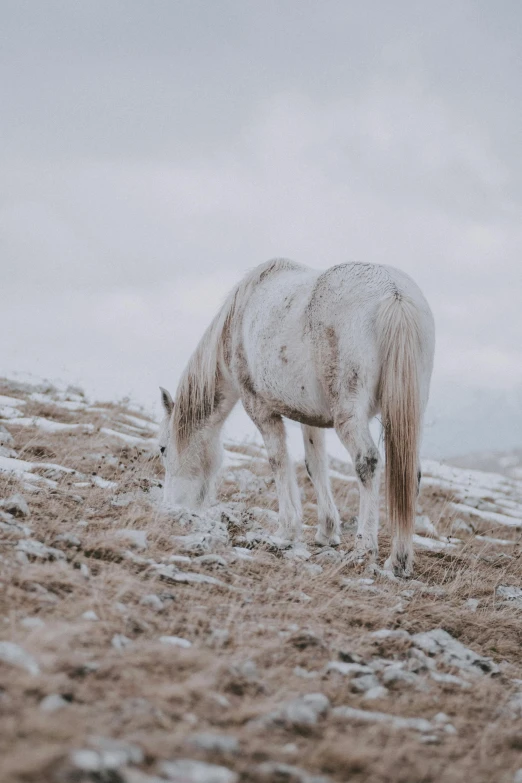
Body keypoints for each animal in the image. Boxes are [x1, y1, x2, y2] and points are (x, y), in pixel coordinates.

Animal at [159, 258, 434, 576]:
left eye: (163, 449)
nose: (171, 507)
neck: (238, 321)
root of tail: (393, 292)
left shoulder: (260, 408)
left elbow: (278, 462)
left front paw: (286, 531)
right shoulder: (310, 418)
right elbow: (315, 466)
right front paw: (327, 531)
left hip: (349, 414)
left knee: (367, 463)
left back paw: (365, 549)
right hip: (411, 414)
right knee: (410, 473)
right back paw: (399, 559)